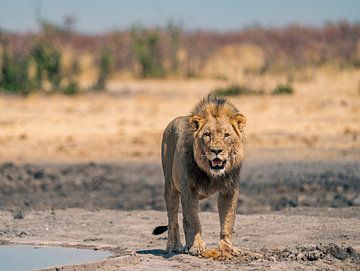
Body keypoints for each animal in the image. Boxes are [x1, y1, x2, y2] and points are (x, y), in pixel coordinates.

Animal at [153, 95, 246, 258]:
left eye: (226, 135)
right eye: (207, 134)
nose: (216, 150)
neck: (212, 173)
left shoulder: (229, 190)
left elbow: (228, 221)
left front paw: (227, 247)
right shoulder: (189, 189)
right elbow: (193, 220)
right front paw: (196, 246)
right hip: (170, 185)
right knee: (173, 219)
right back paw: (174, 246)